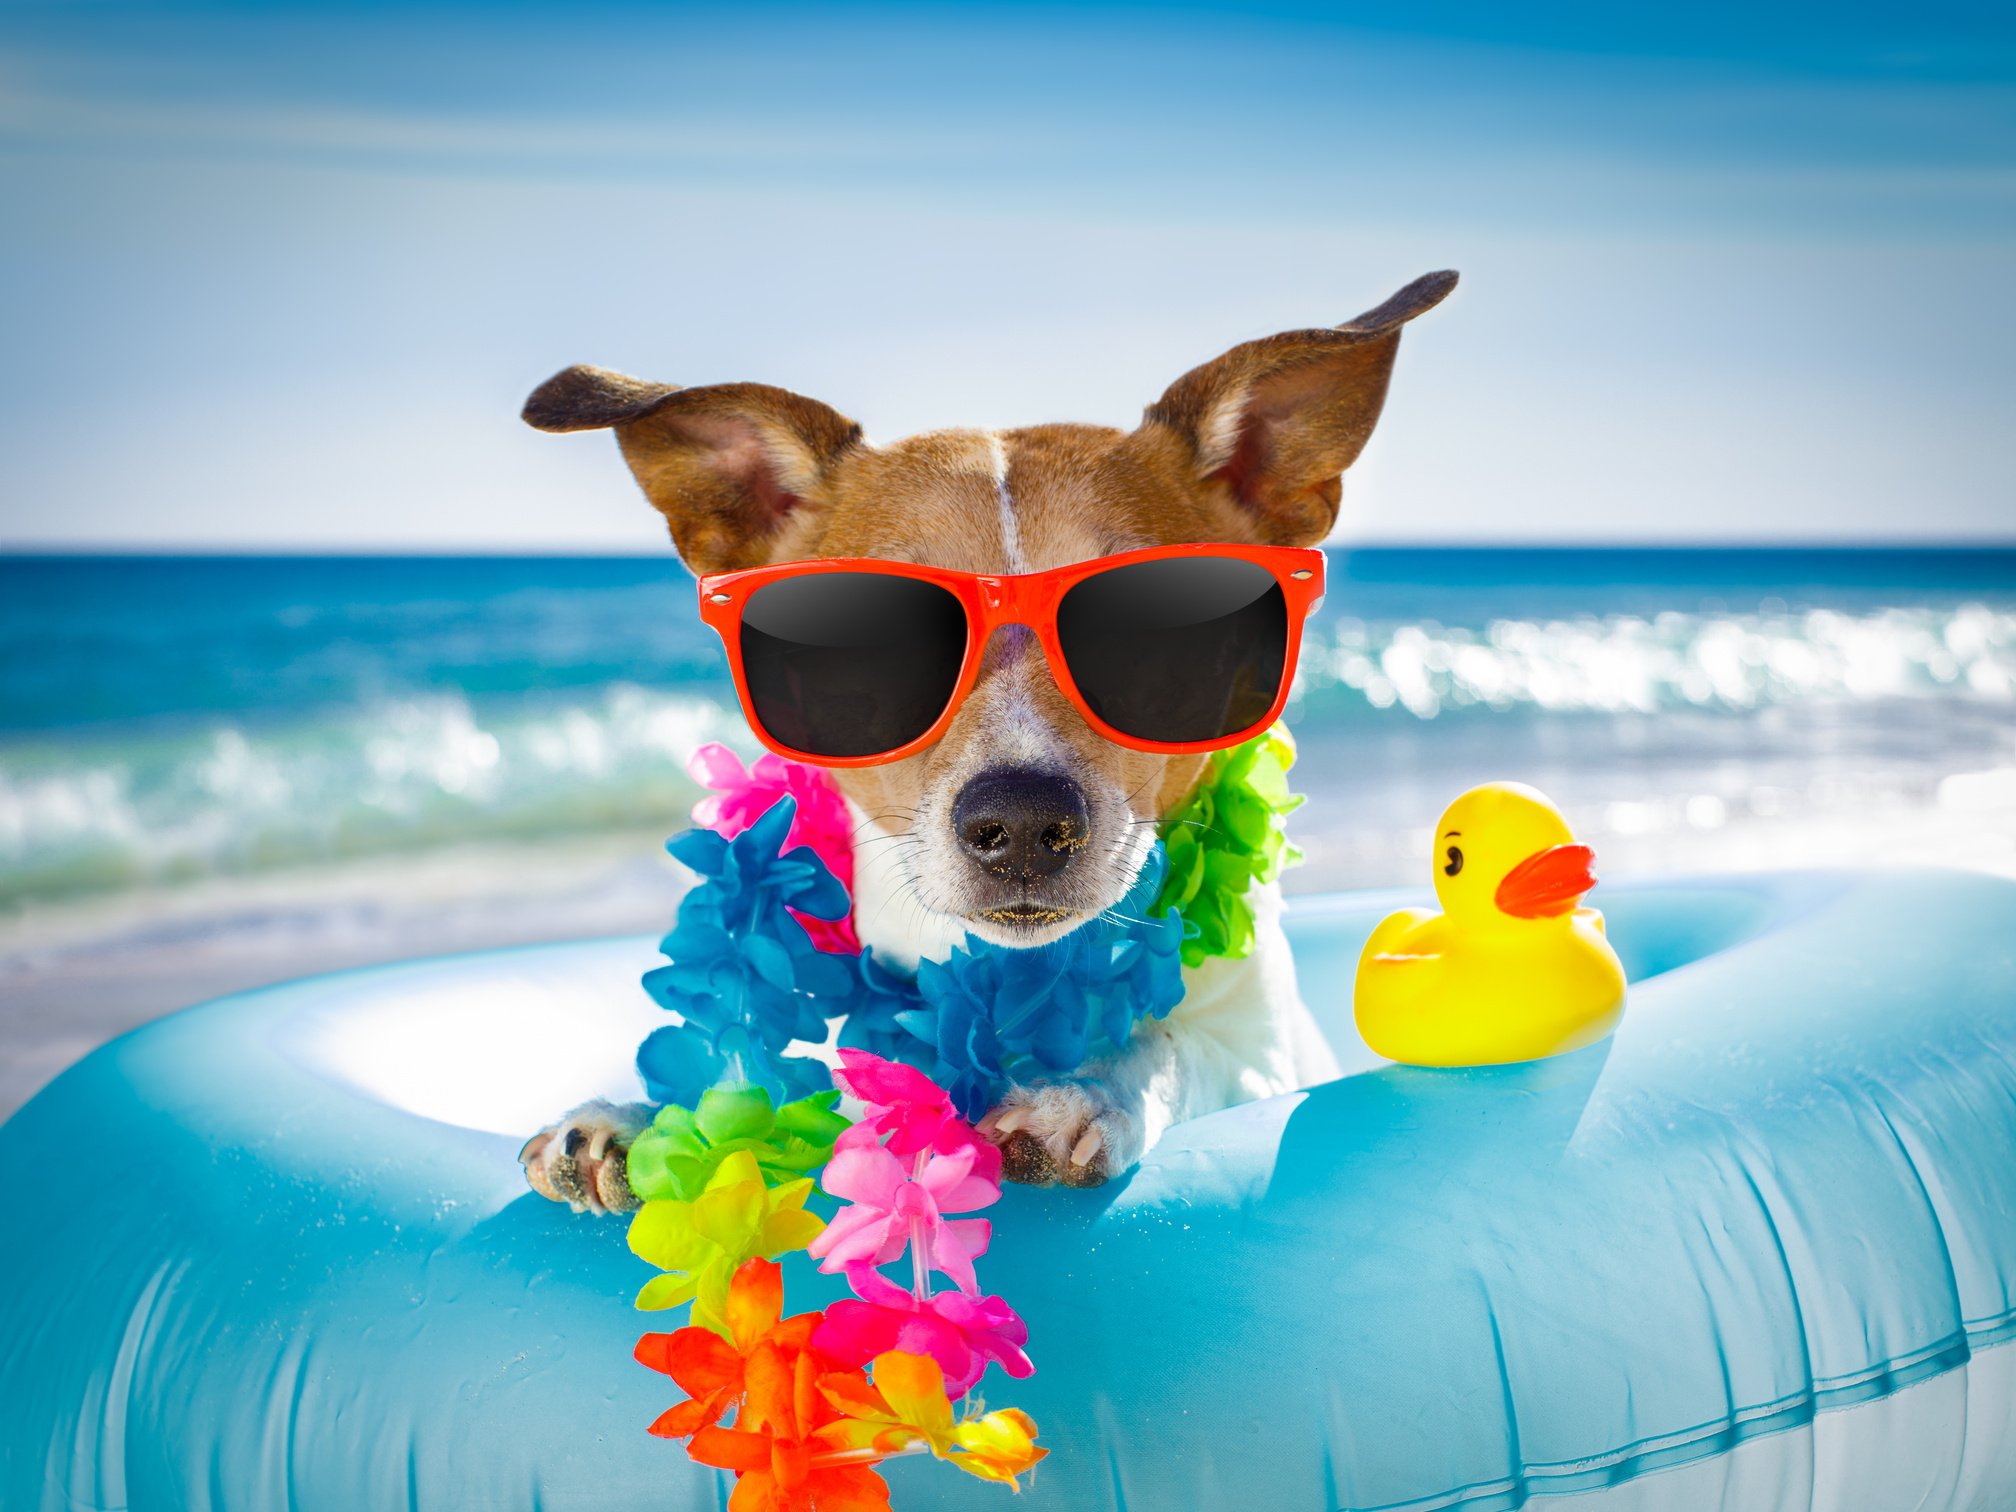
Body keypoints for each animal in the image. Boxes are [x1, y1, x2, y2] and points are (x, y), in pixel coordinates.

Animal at [508, 272, 1451, 1217]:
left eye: (1156, 625)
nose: (1026, 822)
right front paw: (652, 1122)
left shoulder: (1262, 1060)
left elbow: (1174, 1048)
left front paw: (1090, 1089)